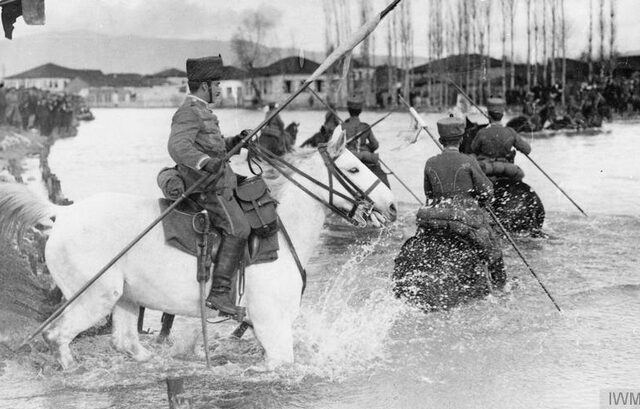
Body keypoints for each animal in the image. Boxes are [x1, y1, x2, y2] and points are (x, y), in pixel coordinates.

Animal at [0, 131, 398, 370]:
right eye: (353, 168)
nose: (392, 207)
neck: (281, 233)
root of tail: (63, 213)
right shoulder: (270, 323)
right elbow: (283, 362)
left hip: (125, 299)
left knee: (126, 343)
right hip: (94, 296)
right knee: (57, 337)